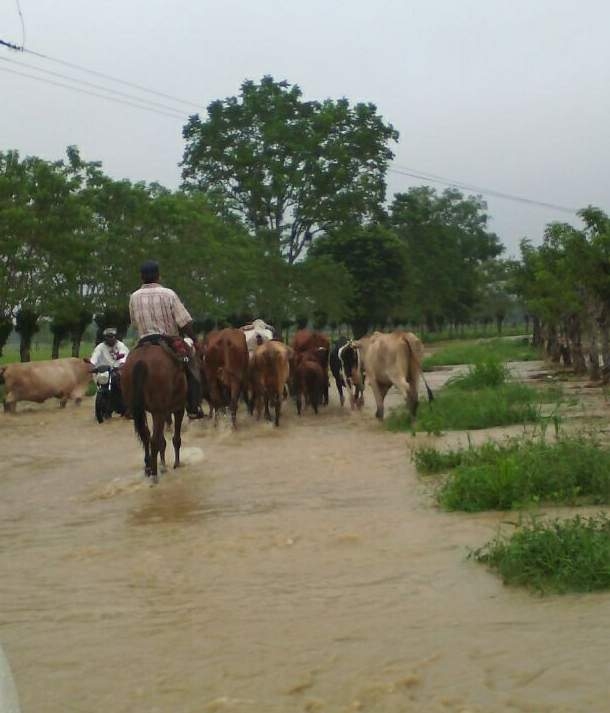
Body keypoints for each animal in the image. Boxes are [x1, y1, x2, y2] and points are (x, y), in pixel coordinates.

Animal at [119, 340, 185, 484]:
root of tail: (141, 360)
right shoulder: (178, 408)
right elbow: (175, 438)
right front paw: (176, 463)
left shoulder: (162, 411)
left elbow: (161, 439)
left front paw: (163, 465)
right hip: (158, 410)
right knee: (153, 440)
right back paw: (154, 474)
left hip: (138, 409)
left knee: (146, 436)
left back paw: (149, 468)